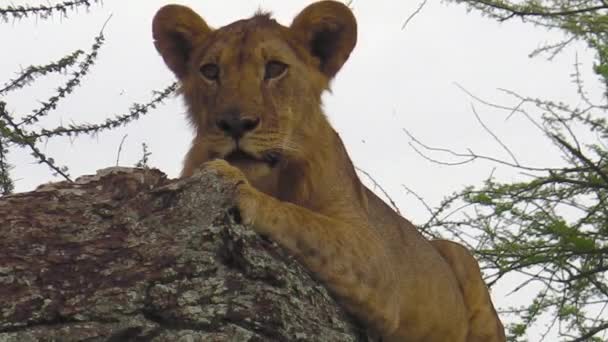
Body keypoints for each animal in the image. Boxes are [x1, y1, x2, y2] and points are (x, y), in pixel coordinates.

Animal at [154, 1, 506, 340]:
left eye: (275, 69)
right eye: (210, 71)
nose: (235, 123)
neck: (269, 178)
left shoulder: (373, 255)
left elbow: (301, 219)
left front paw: (233, 181)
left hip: (461, 260)